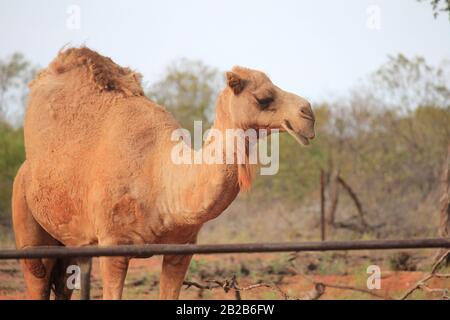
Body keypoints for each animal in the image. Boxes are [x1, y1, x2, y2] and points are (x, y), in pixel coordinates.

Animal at [10, 47, 312, 300]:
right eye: (263, 98)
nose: (308, 114)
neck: (163, 183)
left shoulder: (181, 250)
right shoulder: (113, 245)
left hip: (71, 243)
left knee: (64, 283)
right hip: (28, 222)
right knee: (38, 277)